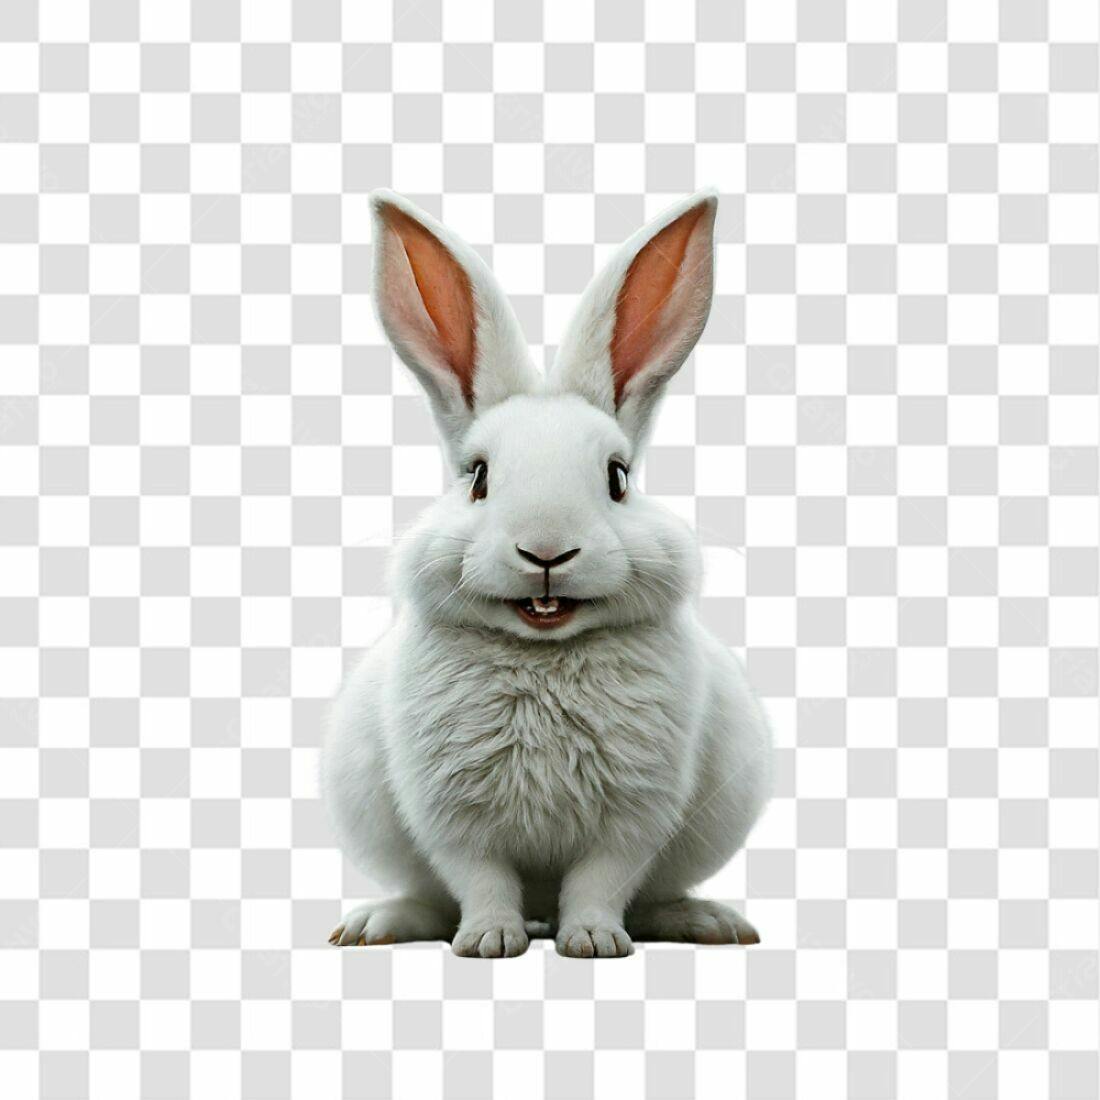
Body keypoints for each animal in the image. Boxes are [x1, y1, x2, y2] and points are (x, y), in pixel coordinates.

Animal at [321, 187, 773, 958]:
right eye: (477, 477)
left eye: (618, 478)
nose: (547, 551)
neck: (543, 653)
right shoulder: (451, 815)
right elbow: (479, 879)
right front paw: (490, 942)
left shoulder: (634, 817)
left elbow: (601, 881)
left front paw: (592, 941)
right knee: (427, 896)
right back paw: (374, 925)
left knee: (652, 896)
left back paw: (708, 922)